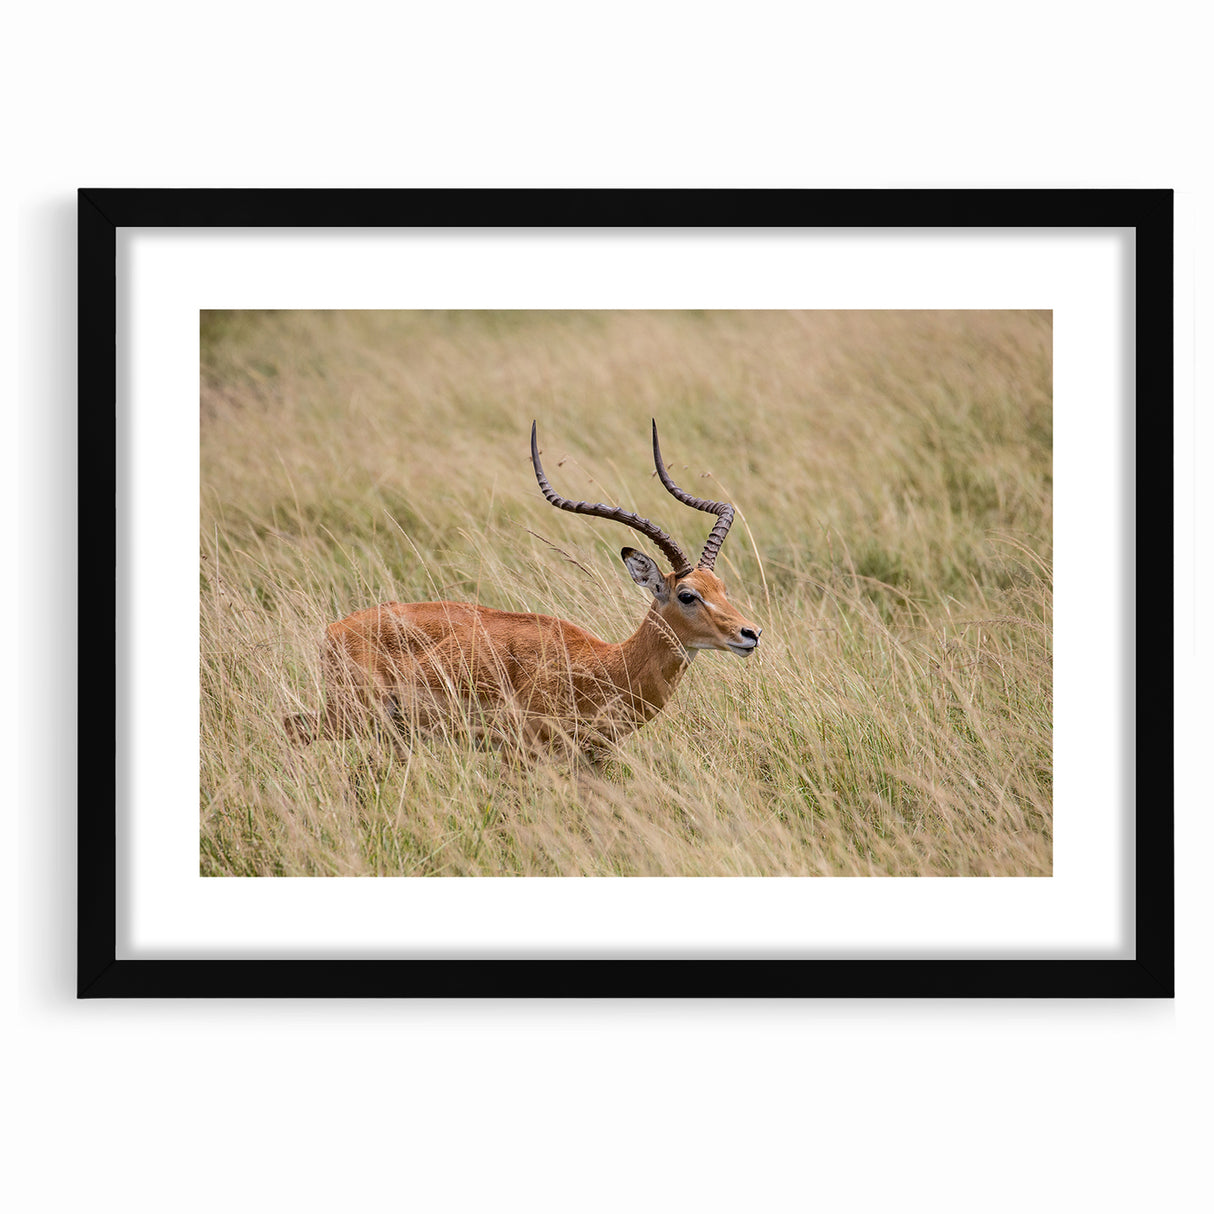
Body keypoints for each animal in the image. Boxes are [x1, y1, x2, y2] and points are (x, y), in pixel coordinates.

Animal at [284, 421, 762, 761]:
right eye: (687, 595)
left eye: (721, 586)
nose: (750, 634)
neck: (604, 666)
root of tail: (335, 629)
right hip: (354, 715)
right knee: (292, 729)